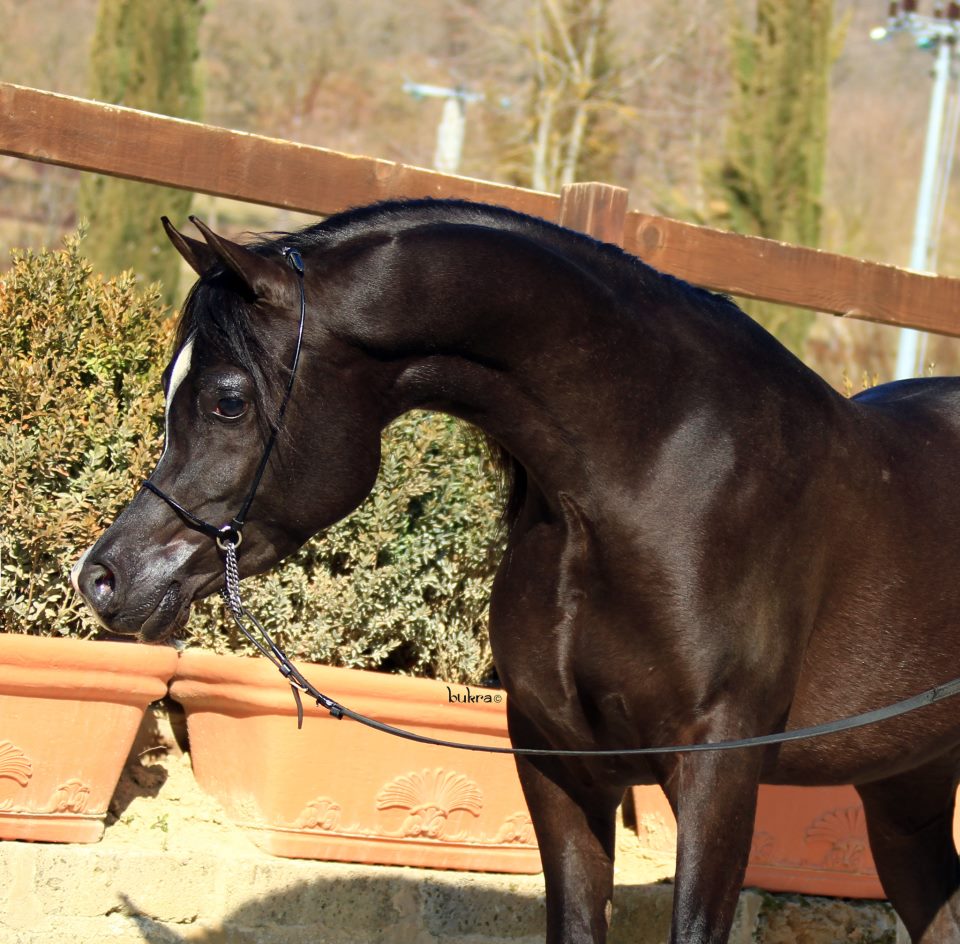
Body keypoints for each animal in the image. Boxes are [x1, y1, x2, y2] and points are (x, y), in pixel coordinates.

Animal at [72, 198, 960, 943]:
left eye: (227, 399)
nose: (103, 578)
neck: (655, 475)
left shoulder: (720, 768)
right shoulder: (557, 763)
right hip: (907, 794)